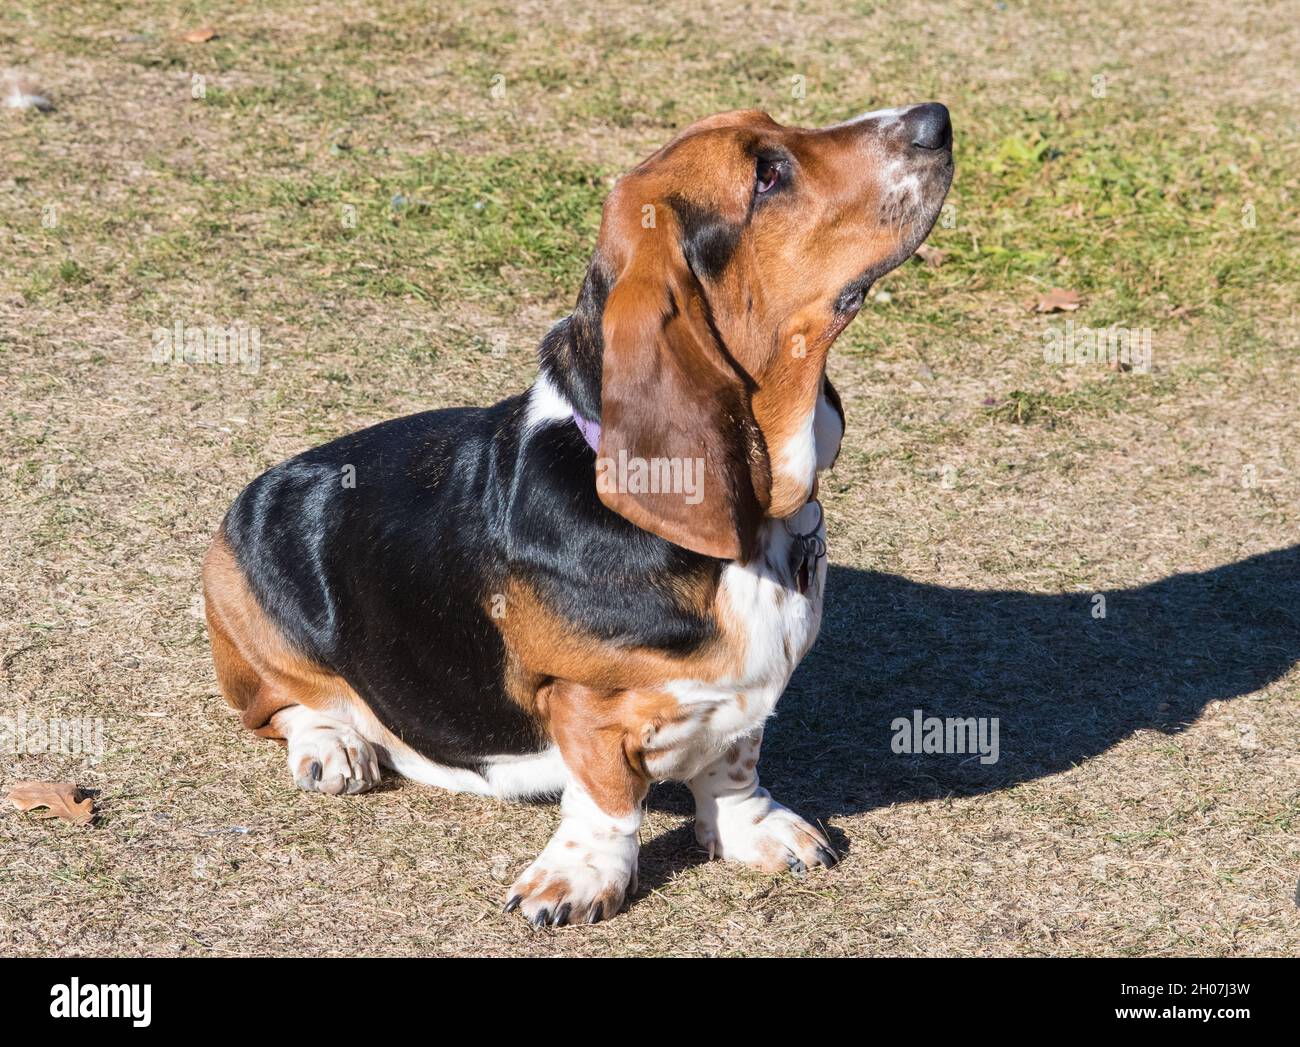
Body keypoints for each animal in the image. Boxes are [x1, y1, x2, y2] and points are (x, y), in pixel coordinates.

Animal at [205, 104, 956, 920]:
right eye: (766, 174)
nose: (936, 120)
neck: (756, 537)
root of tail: (260, 488)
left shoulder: (744, 705)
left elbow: (734, 767)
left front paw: (753, 830)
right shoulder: (584, 705)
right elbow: (606, 799)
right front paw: (580, 877)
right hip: (241, 598)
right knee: (284, 705)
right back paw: (333, 745)